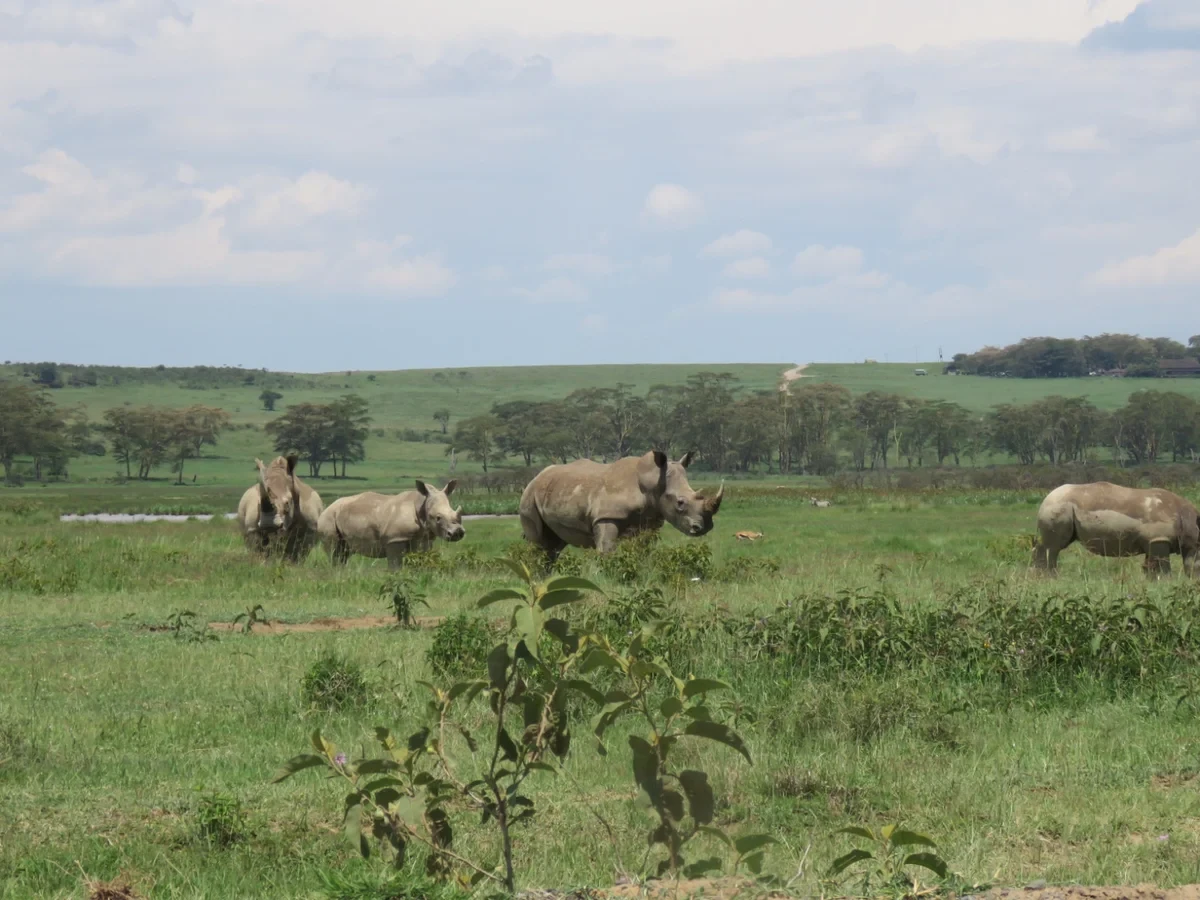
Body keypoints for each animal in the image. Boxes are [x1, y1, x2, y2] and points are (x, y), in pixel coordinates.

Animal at [316, 480, 465, 571]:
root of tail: (325, 508)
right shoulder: (395, 539)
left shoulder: (425, 537)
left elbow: (422, 558)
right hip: (328, 519)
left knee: (344, 553)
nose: (457, 532)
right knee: (335, 552)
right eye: (438, 518)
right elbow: (395, 565)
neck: (421, 504)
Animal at [518, 451, 720, 564]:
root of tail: (536, 477)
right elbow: (606, 550)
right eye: (680, 503)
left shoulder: (650, 521)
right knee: (538, 542)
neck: (653, 481)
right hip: (528, 497)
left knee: (554, 544)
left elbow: (643, 551)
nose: (704, 527)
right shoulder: (606, 515)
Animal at [1032, 482, 1200, 580]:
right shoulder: (1159, 538)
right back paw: (1050, 578)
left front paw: (1151, 582)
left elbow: (1150, 565)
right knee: (1053, 547)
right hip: (1058, 506)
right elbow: (1163, 565)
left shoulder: (1152, 540)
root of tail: (1046, 498)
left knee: (1049, 545)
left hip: (1061, 506)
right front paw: (1166, 582)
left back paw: (1040, 576)